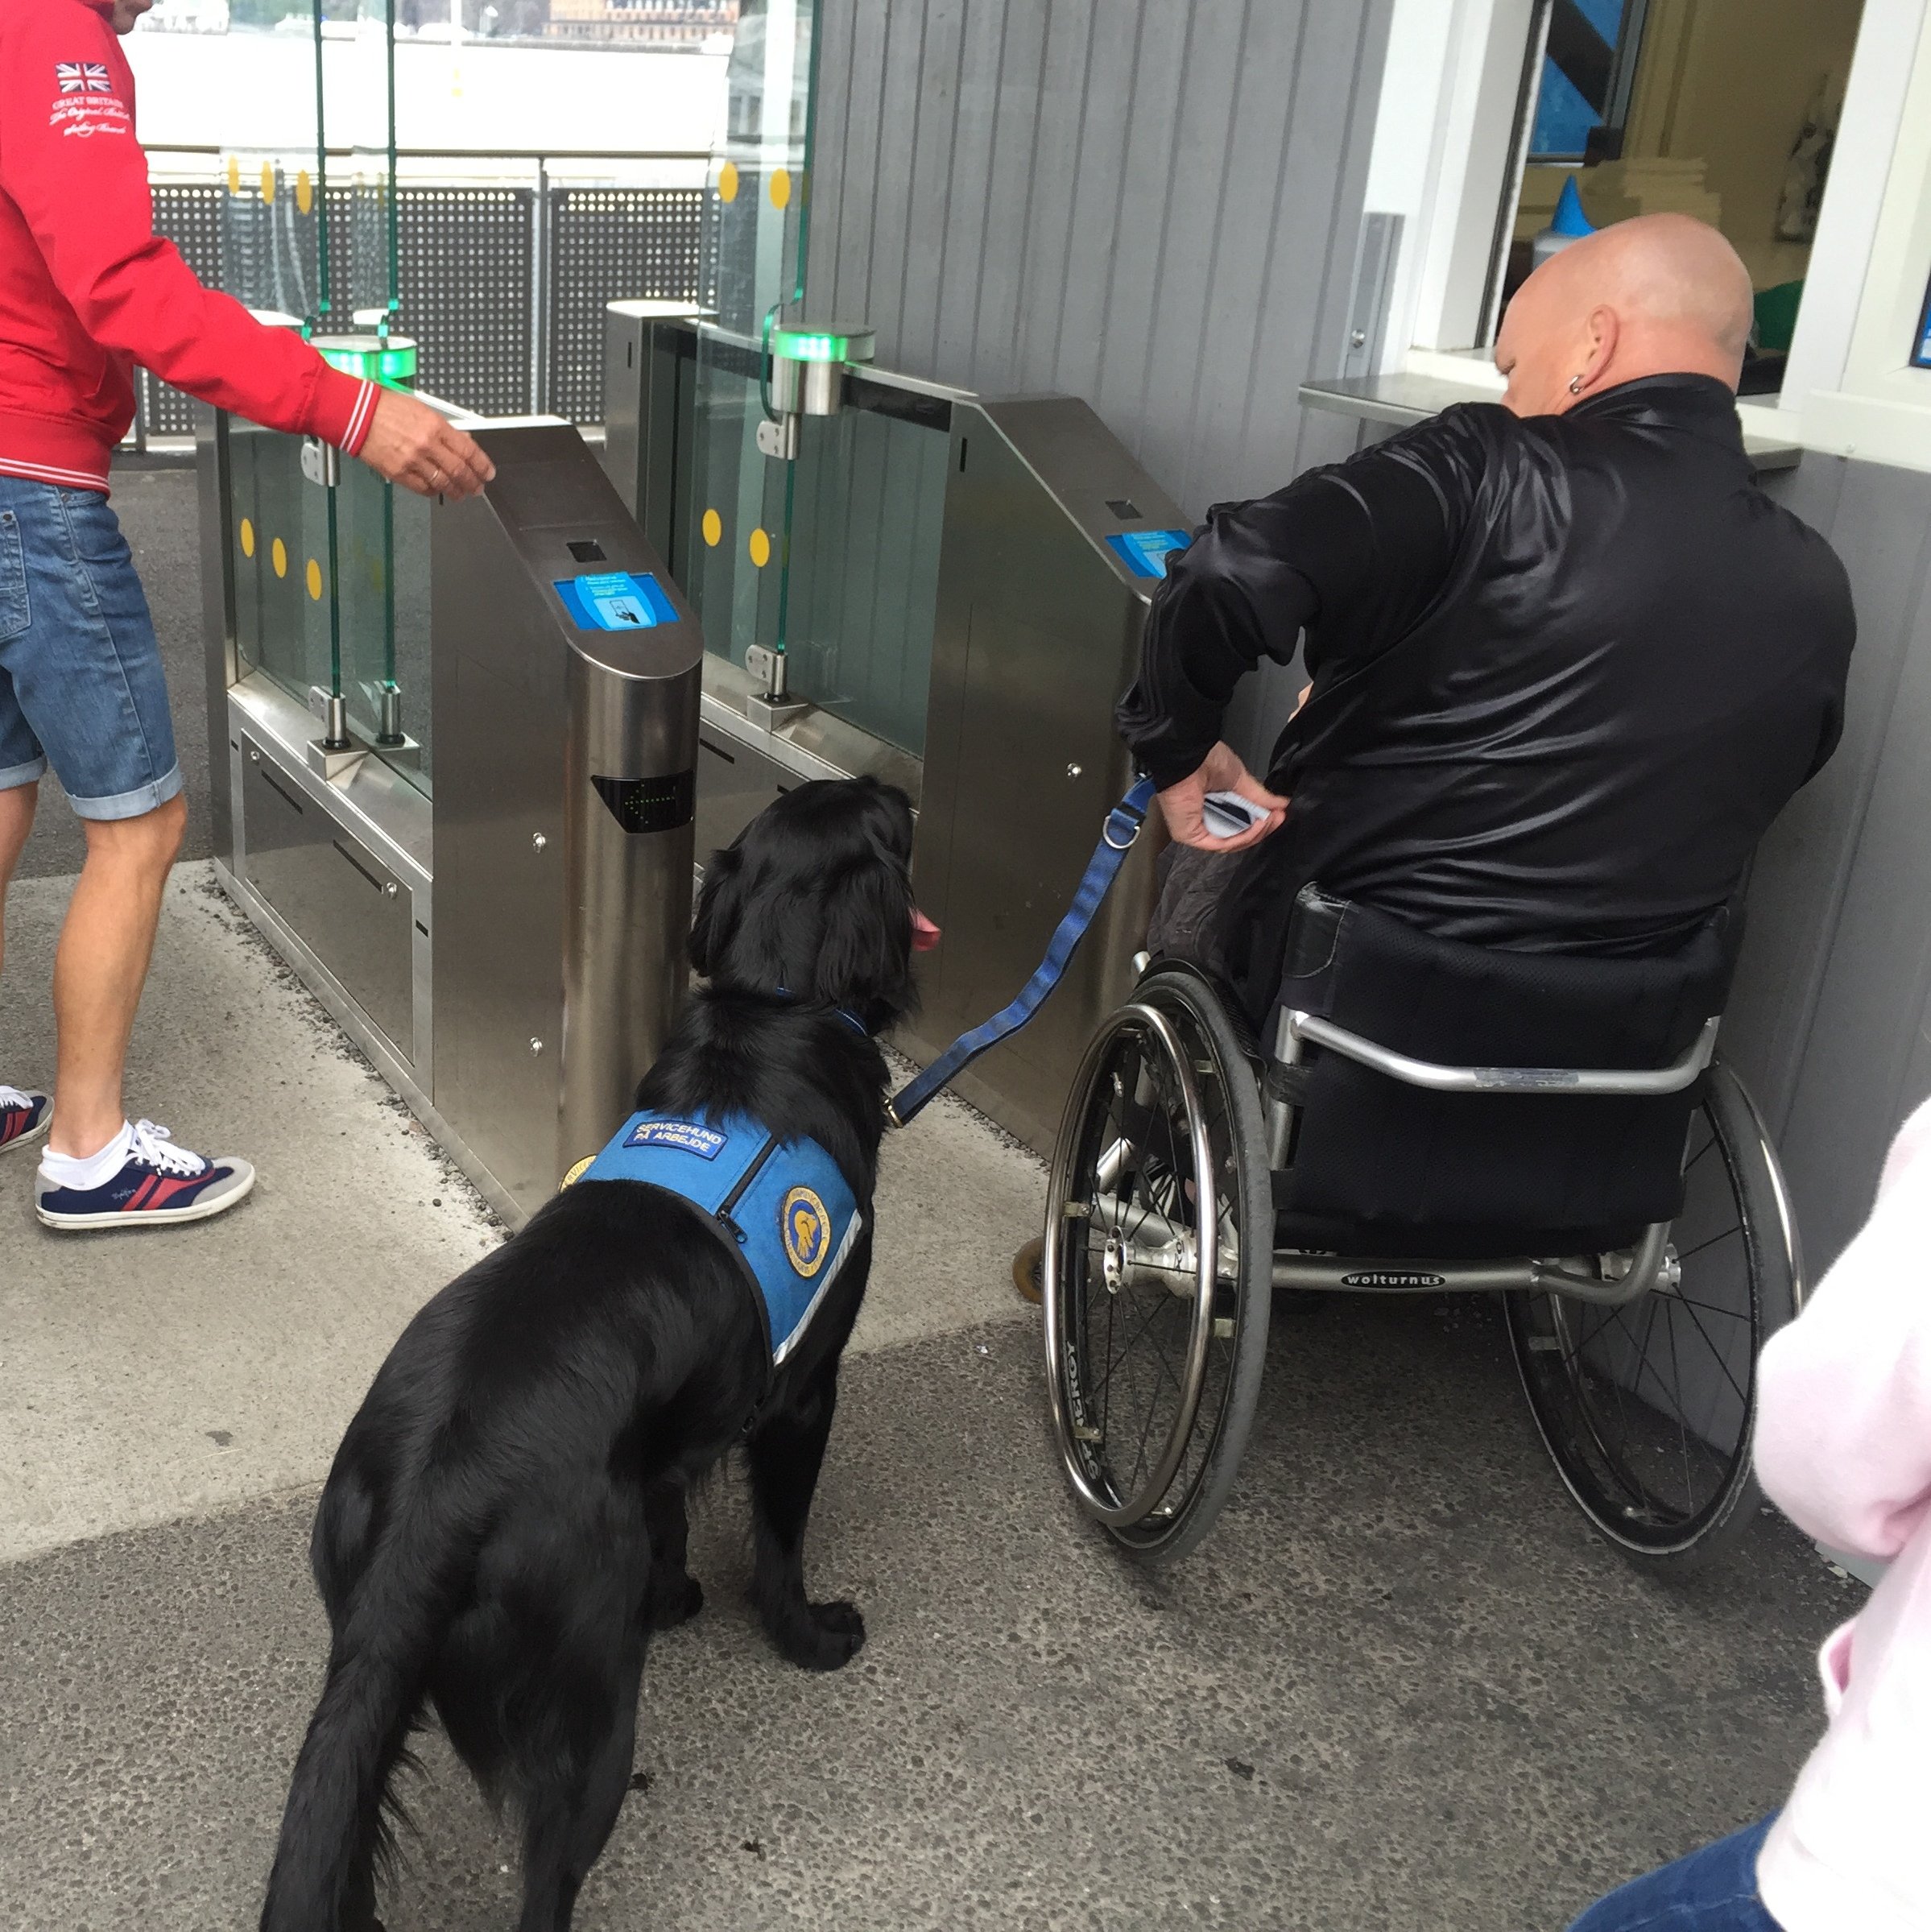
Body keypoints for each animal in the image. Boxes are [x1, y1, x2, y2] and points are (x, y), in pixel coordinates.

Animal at [263, 776, 934, 1924]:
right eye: (880, 815)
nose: (906, 787)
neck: (775, 1009)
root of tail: (432, 1509)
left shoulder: (662, 1447)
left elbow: (672, 1521)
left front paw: (676, 1596)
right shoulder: (804, 1393)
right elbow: (781, 1543)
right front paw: (807, 1636)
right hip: (590, 1717)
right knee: (548, 1879)